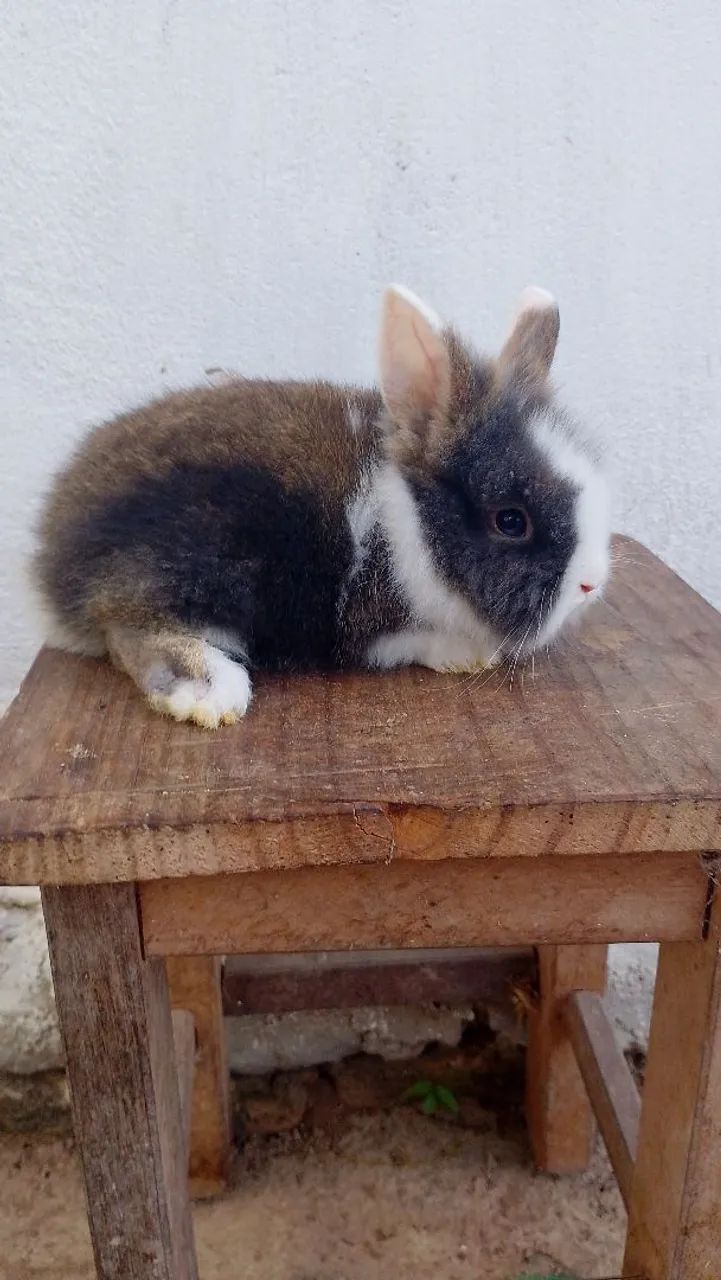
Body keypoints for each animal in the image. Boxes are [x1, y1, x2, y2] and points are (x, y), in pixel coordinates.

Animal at [33, 285, 610, 728]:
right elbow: (412, 641)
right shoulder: (367, 621)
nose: (590, 585)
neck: (407, 520)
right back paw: (211, 692)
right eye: (511, 521)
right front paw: (468, 656)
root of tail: (51, 554)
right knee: (130, 633)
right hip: (180, 570)